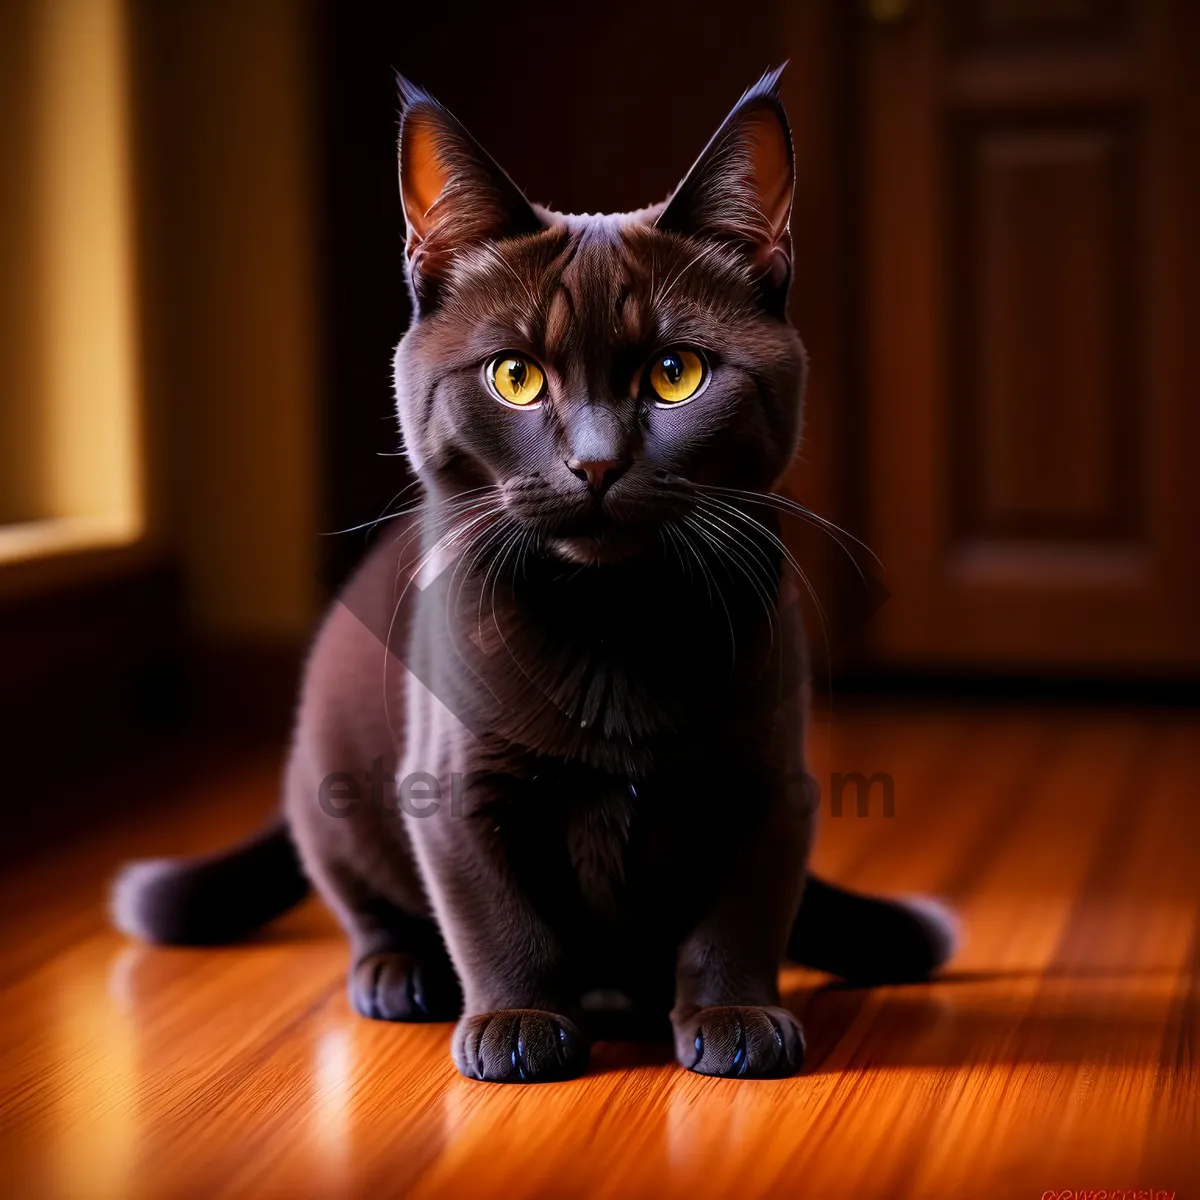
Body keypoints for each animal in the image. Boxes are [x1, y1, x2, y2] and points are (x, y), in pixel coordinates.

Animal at [112, 72, 955, 1089]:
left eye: (677, 374)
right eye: (514, 375)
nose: (596, 463)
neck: (613, 624)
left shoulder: (768, 780)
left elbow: (742, 908)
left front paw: (736, 1015)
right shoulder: (454, 785)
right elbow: (497, 913)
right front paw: (518, 1023)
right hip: (328, 779)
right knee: (364, 899)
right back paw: (402, 973)